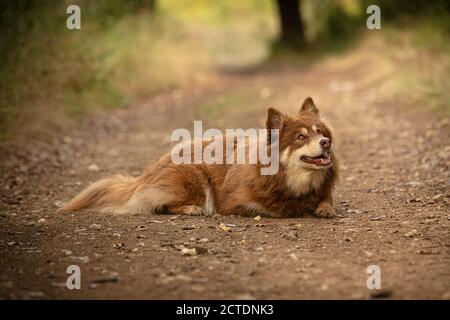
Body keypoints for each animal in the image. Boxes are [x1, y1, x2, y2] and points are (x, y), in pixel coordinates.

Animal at [62, 97, 338, 218]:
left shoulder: (322, 191)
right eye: (300, 137)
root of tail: (145, 176)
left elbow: (327, 200)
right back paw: (190, 208)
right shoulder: (236, 202)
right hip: (193, 177)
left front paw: (322, 208)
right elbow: (274, 209)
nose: (326, 143)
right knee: (161, 204)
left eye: (320, 132)